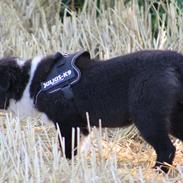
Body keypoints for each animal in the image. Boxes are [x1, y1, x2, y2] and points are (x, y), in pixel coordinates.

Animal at [0, 50, 183, 173]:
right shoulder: (82, 125)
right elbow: (78, 147)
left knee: (167, 149)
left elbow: (67, 148)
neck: (29, 81)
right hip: (174, 118)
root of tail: (174, 60)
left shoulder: (67, 123)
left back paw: (157, 172)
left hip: (148, 118)